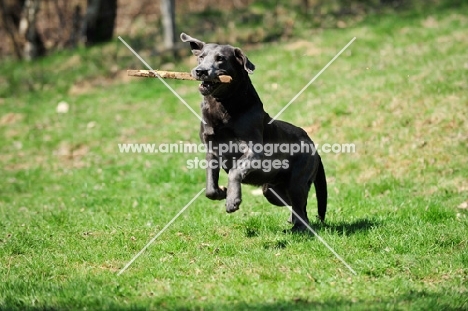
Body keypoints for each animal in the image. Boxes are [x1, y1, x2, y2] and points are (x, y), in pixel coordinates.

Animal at [181, 33, 328, 232]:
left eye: (220, 59)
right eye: (201, 57)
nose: (200, 71)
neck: (223, 105)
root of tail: (314, 147)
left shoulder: (253, 151)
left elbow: (235, 171)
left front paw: (232, 200)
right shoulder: (211, 150)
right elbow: (210, 186)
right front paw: (221, 192)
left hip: (297, 181)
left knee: (301, 208)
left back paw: (298, 229)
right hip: (272, 190)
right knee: (297, 207)